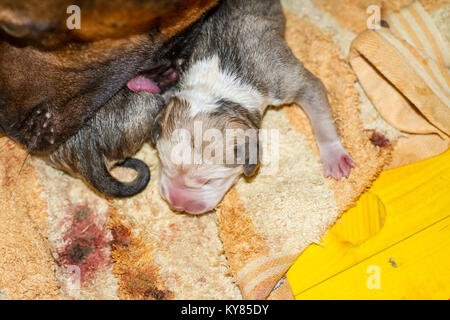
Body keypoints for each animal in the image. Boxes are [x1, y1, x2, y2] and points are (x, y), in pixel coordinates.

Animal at [154, 0, 356, 215]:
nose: (176, 205)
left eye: (207, 181)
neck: (217, 82)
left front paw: (334, 158)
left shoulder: (281, 76)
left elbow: (317, 106)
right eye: (164, 165)